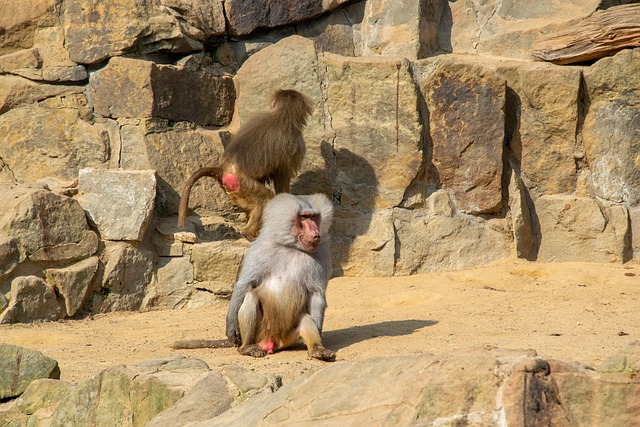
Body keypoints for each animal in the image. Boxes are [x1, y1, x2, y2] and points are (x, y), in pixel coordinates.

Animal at [171, 193, 336, 362]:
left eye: (315, 217)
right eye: (304, 217)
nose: (316, 235)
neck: (292, 248)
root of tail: (272, 342)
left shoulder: (322, 253)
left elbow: (316, 294)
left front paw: (319, 333)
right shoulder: (260, 249)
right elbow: (245, 284)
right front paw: (231, 327)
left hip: (290, 337)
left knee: (305, 318)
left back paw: (318, 350)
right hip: (260, 332)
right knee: (251, 297)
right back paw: (247, 347)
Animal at [177, 89, 314, 240]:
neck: (282, 114)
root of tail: (223, 169)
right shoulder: (295, 143)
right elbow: (282, 179)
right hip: (244, 184)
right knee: (264, 199)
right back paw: (248, 233)